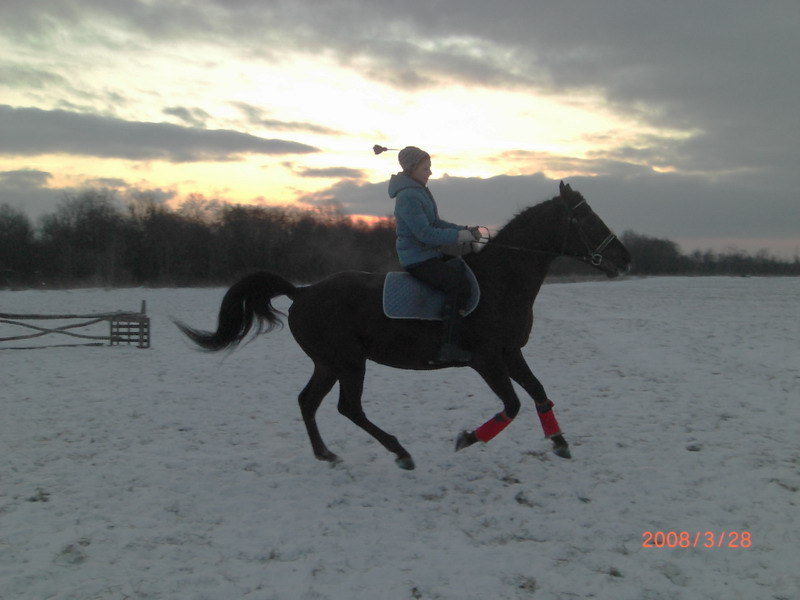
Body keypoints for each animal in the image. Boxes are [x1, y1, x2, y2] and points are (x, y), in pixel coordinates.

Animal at [175, 180, 632, 472]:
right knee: (348, 407)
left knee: (308, 402)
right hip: (348, 362)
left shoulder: (510, 352)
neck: (501, 281)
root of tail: (301, 292)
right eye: (588, 219)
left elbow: (539, 392)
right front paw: (467, 439)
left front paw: (560, 442)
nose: (625, 259)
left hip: (329, 363)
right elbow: (513, 405)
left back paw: (328, 455)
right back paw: (400, 452)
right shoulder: (486, 360)